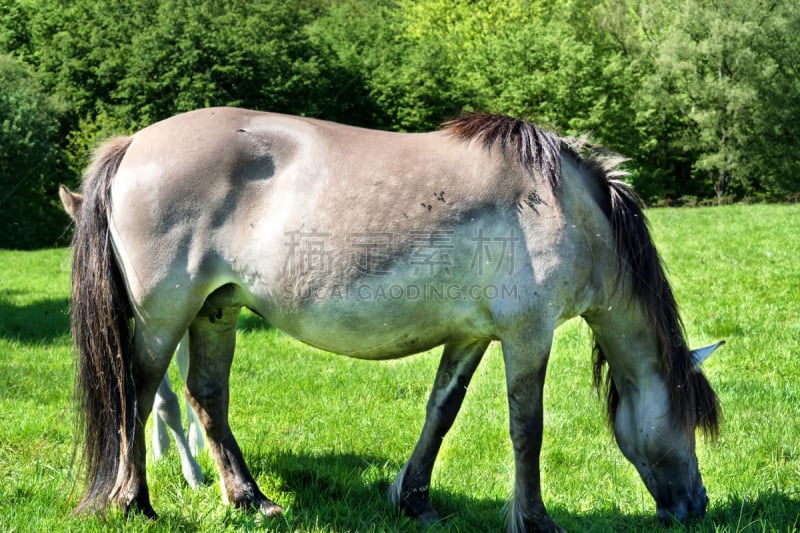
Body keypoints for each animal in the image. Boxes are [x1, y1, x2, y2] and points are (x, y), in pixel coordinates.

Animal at [67, 106, 720, 528]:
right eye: (690, 419)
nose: (697, 506)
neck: (565, 207)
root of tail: (133, 145)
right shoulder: (527, 336)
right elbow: (527, 430)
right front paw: (534, 520)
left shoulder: (470, 337)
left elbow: (441, 413)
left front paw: (416, 500)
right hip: (163, 315)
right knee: (138, 392)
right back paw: (133, 502)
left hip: (215, 309)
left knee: (206, 397)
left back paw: (250, 499)